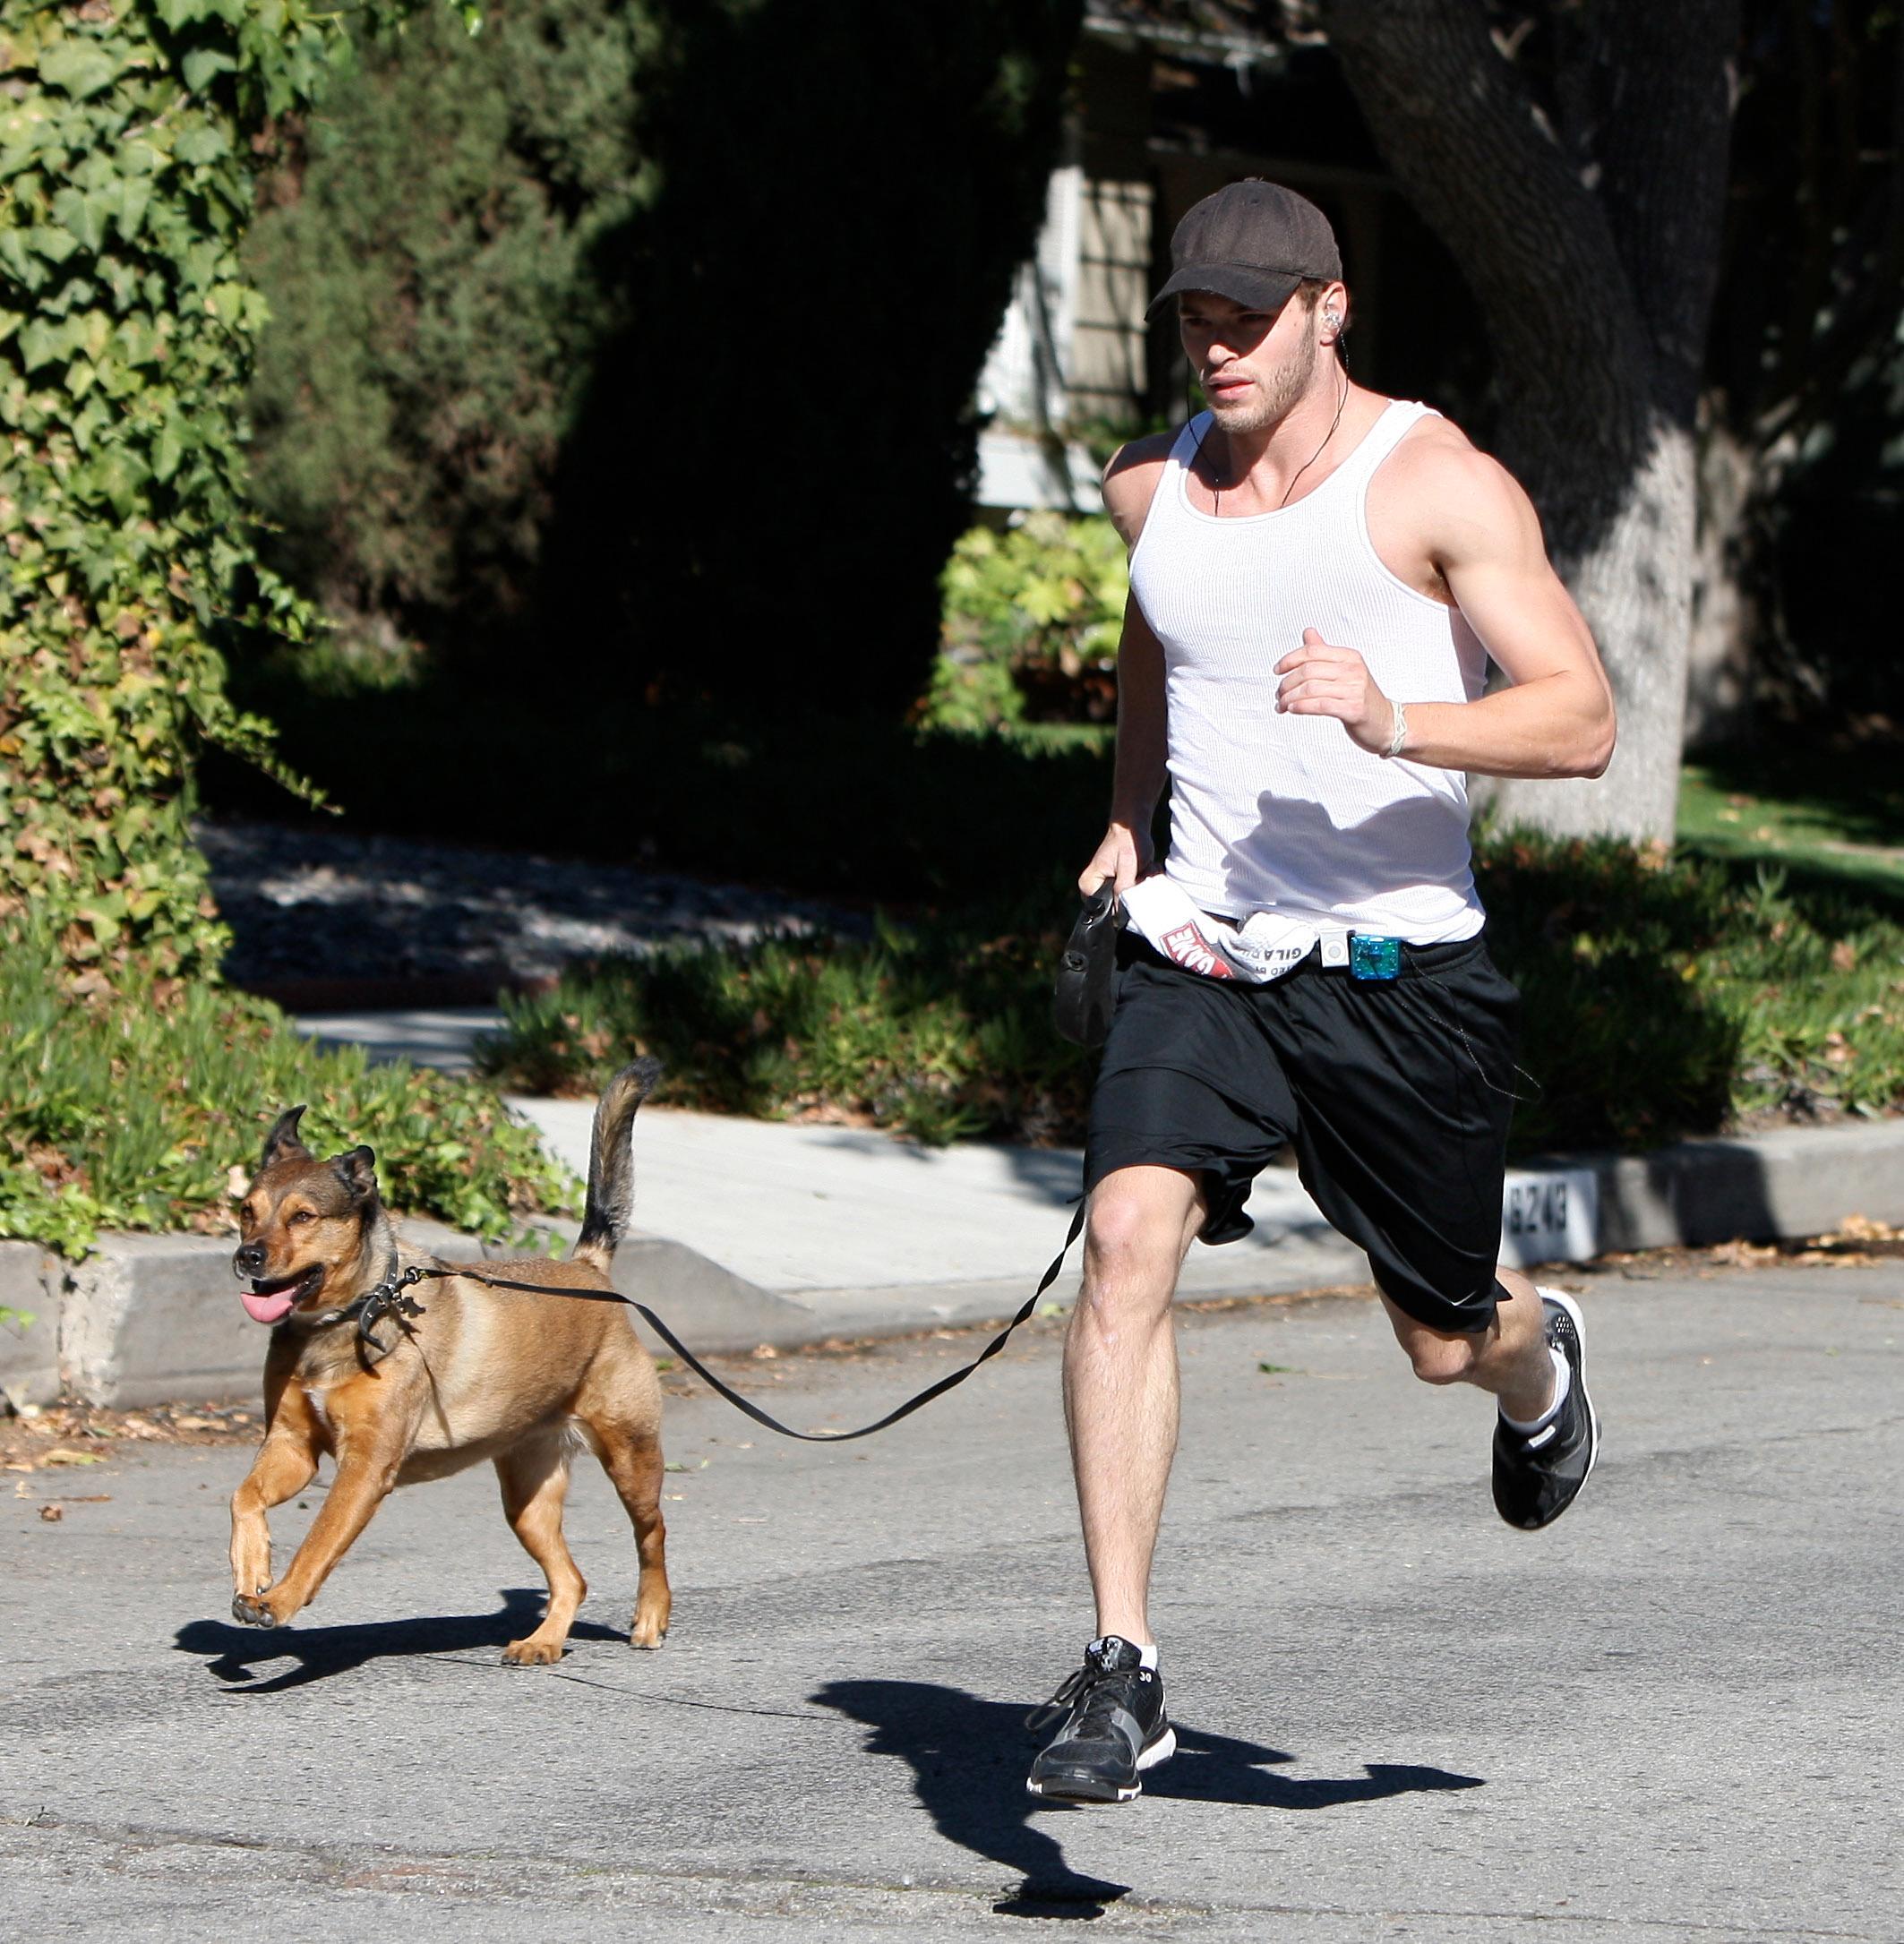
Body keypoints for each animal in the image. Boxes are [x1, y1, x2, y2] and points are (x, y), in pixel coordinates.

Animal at [227, 1058, 673, 1664]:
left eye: (303, 1217)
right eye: (246, 1211)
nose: (246, 1256)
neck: (350, 1316)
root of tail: (588, 1271)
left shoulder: (365, 1469)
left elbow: (319, 1540)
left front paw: (280, 1598)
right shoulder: (292, 1446)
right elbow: (243, 1497)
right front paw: (252, 1569)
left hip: (631, 1455)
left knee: (652, 1535)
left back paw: (650, 1617)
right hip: (527, 1497)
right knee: (572, 1579)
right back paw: (544, 1641)